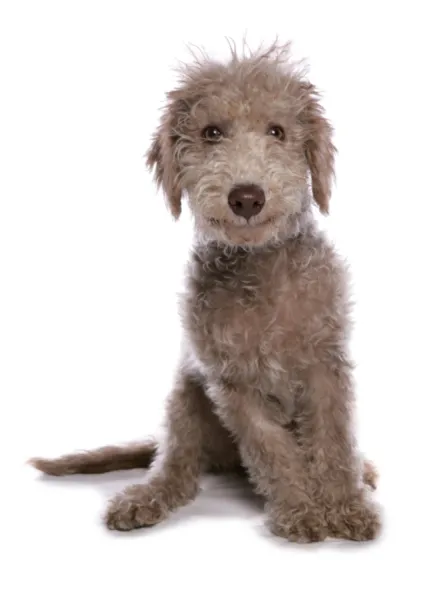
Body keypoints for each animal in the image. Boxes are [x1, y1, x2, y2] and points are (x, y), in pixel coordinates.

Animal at [31, 39, 382, 540]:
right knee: (177, 462)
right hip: (185, 398)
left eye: (277, 131)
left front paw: (344, 506)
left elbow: (333, 441)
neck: (260, 268)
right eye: (212, 132)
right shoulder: (231, 381)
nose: (247, 197)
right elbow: (272, 449)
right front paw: (301, 510)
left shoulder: (325, 365)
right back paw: (147, 496)